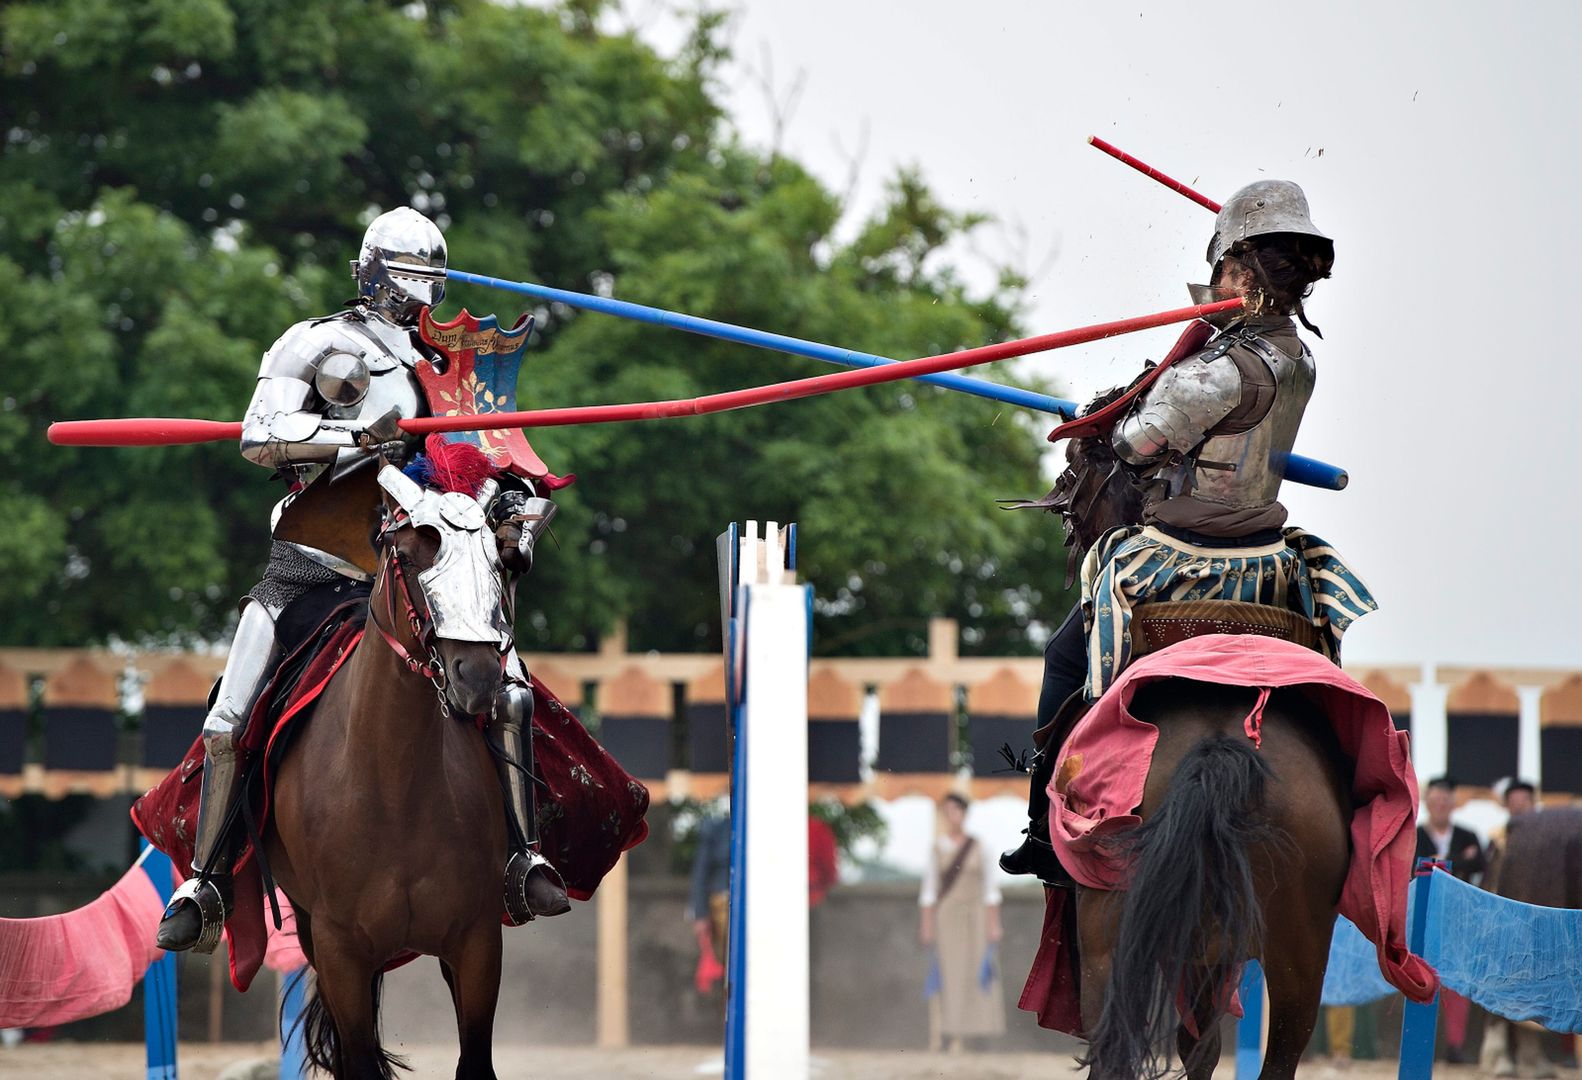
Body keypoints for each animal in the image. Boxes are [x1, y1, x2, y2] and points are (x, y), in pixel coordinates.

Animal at [267, 464, 518, 1080]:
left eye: (494, 558)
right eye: (407, 555)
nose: (478, 675)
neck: (393, 784)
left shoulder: (477, 942)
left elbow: (475, 1060)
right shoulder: (340, 950)